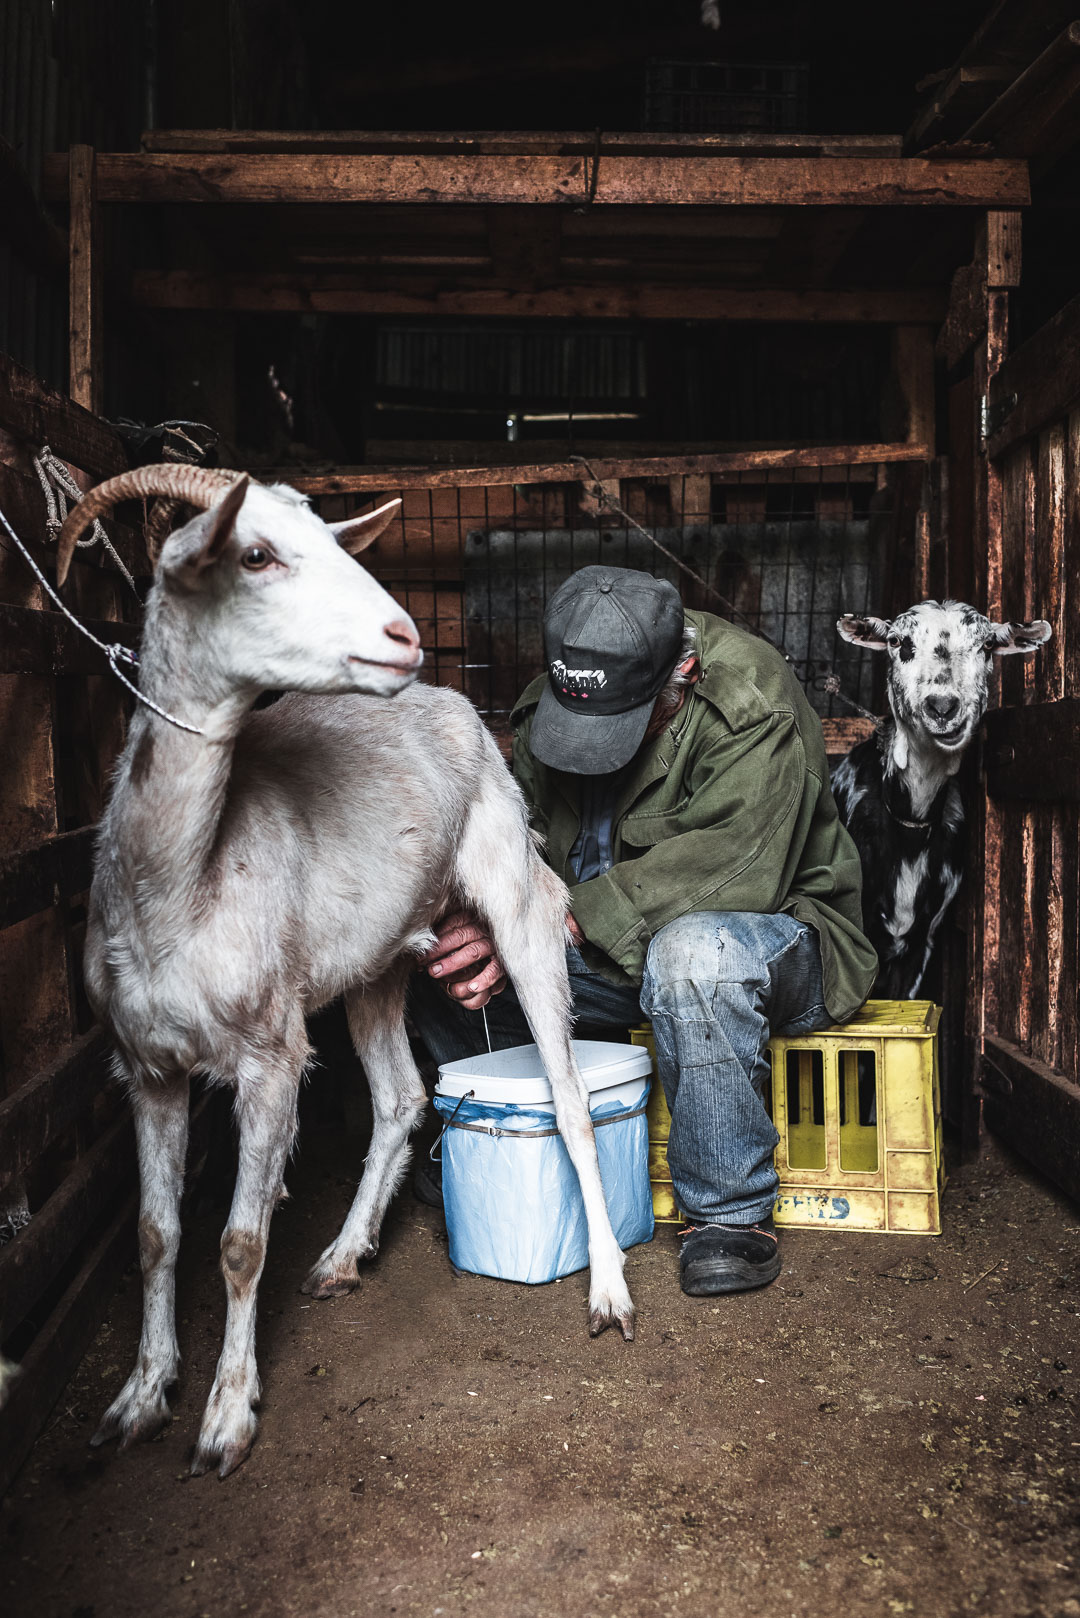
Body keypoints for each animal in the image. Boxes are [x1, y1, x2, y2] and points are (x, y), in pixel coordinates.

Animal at [55, 465, 637, 1482]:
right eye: (254, 553)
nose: (402, 635)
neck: (181, 884)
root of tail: (450, 702)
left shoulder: (269, 1054)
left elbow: (240, 1242)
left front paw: (225, 1419)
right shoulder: (146, 1064)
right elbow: (156, 1234)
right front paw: (139, 1396)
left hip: (514, 885)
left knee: (568, 1101)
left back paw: (608, 1291)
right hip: (379, 959)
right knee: (401, 1094)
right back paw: (341, 1254)